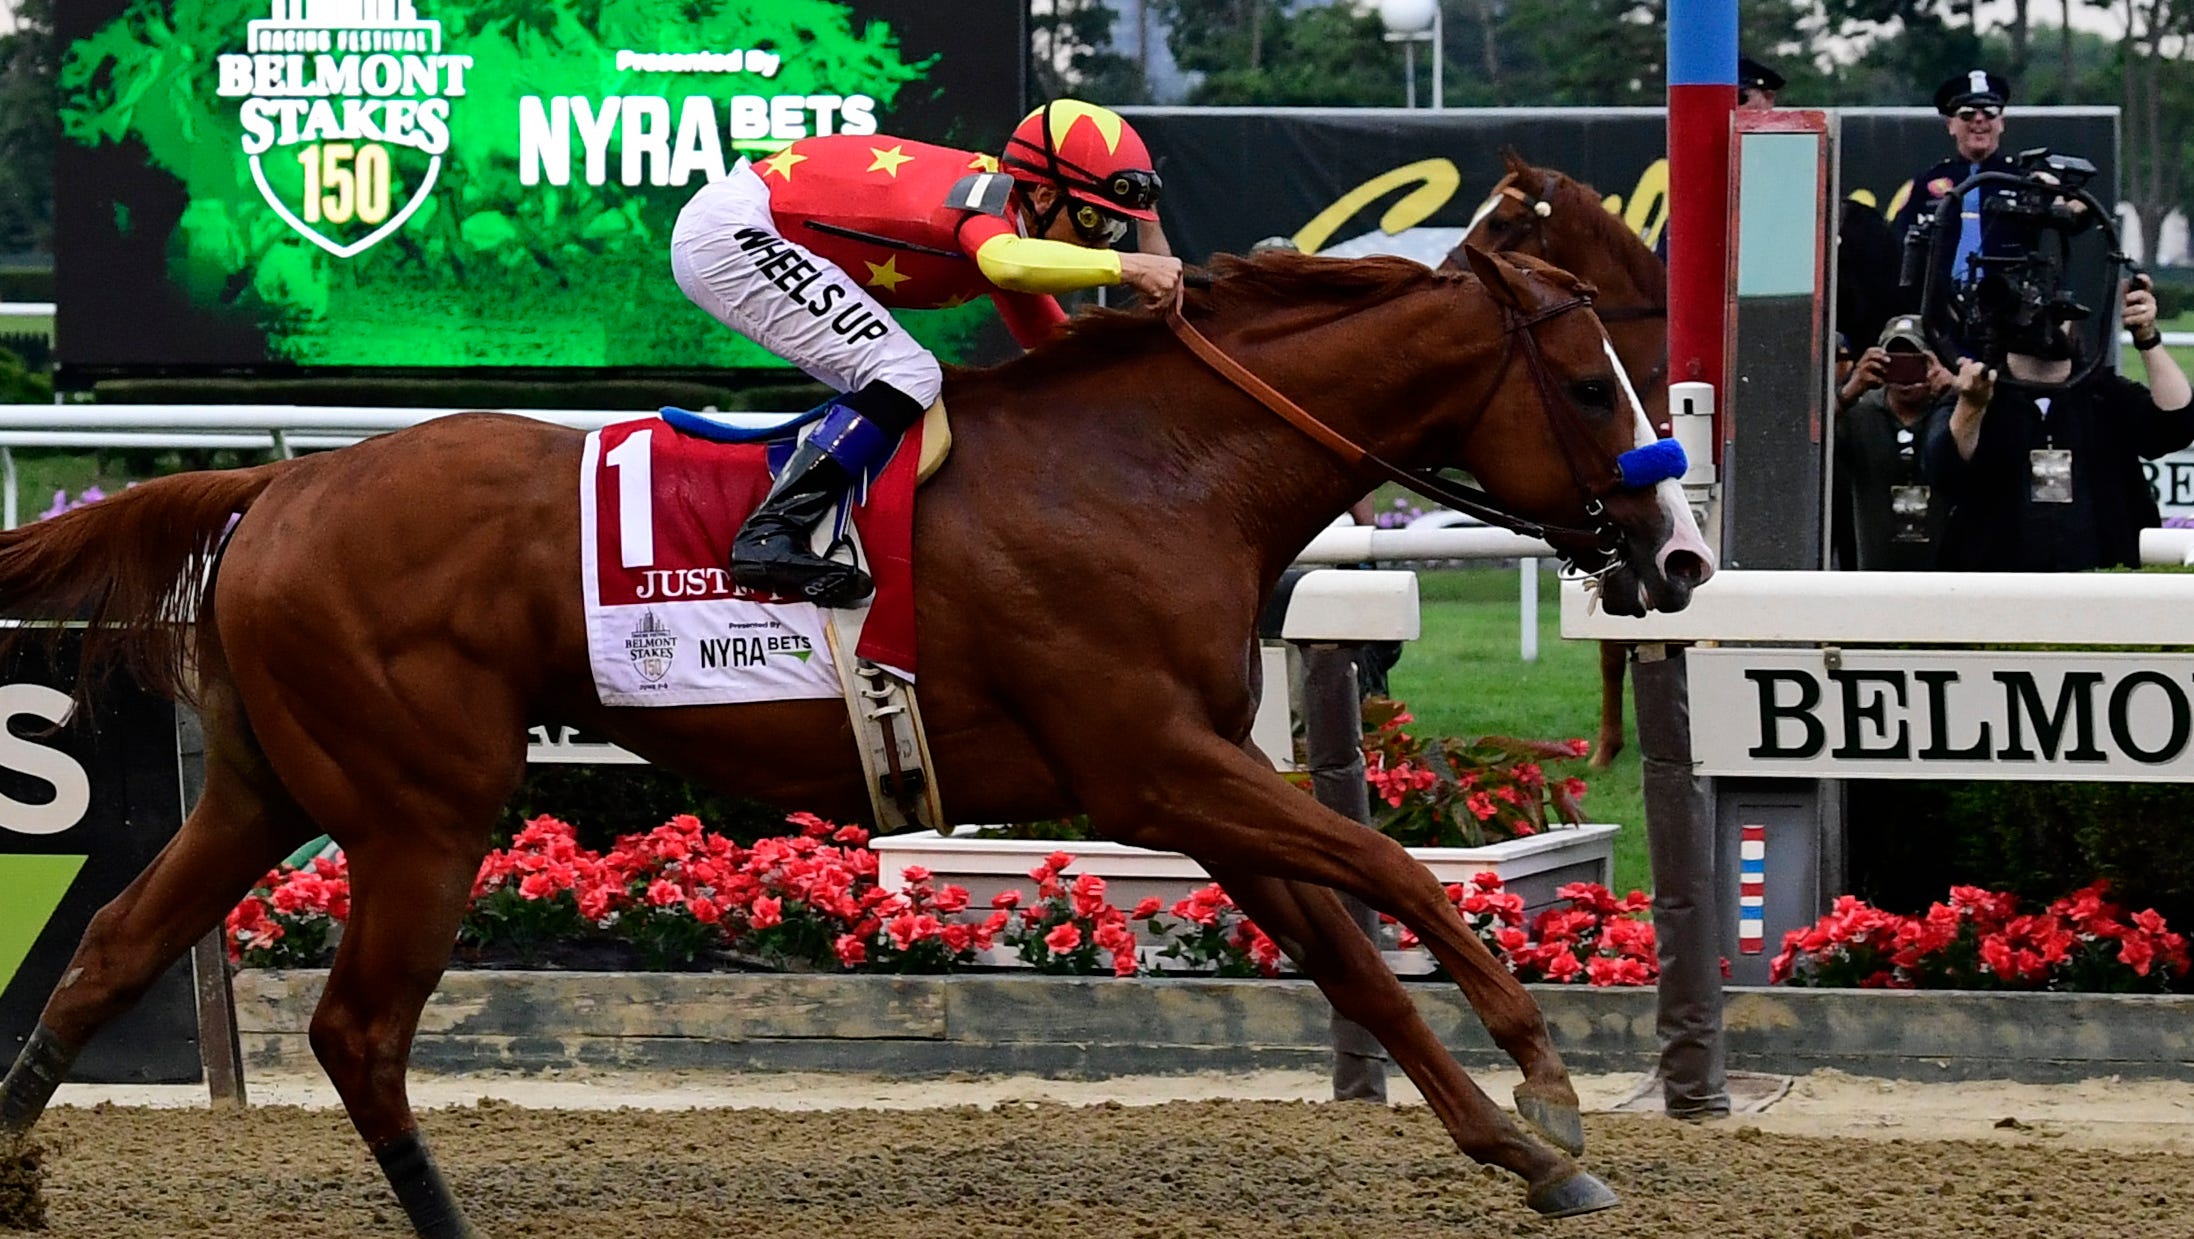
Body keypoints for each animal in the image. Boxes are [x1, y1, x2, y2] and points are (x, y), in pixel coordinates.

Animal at [0, 246, 1702, 1228]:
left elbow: (1358, 962)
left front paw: (1528, 1152)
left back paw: (18, 1161)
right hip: (423, 805)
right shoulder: (1157, 763)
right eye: (1580, 378)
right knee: (356, 1029)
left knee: (110, 954)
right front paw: (1549, 1082)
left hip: (268, 783)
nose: (1677, 555)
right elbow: (1400, 879)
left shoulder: (1196, 783)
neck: (1155, 467)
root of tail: (273, 482)